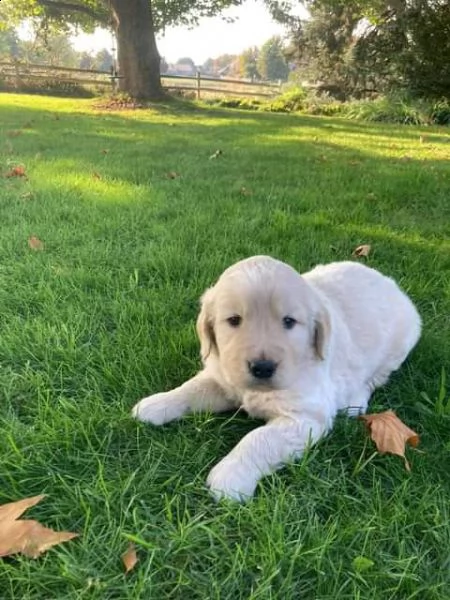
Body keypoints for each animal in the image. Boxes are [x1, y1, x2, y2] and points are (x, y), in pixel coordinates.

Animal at [131, 256, 422, 502]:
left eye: (289, 321)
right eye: (234, 320)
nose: (262, 367)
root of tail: (389, 282)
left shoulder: (306, 418)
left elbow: (259, 439)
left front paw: (230, 477)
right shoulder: (223, 378)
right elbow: (191, 389)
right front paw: (156, 404)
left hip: (400, 344)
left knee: (376, 377)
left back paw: (355, 401)